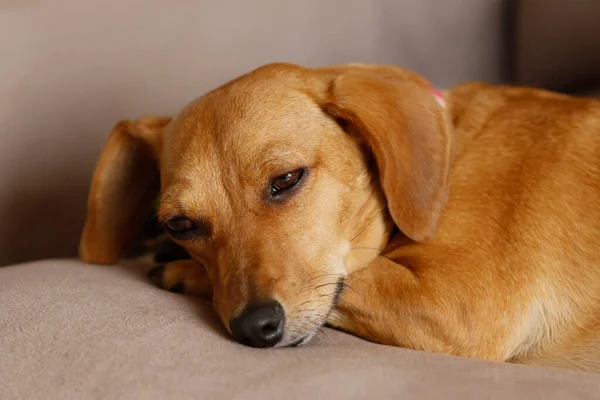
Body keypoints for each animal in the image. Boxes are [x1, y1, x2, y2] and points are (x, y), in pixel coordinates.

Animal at [77, 61, 600, 372]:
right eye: (180, 225)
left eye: (286, 179)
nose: (254, 329)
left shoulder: (458, 306)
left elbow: (352, 279)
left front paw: (181, 270)